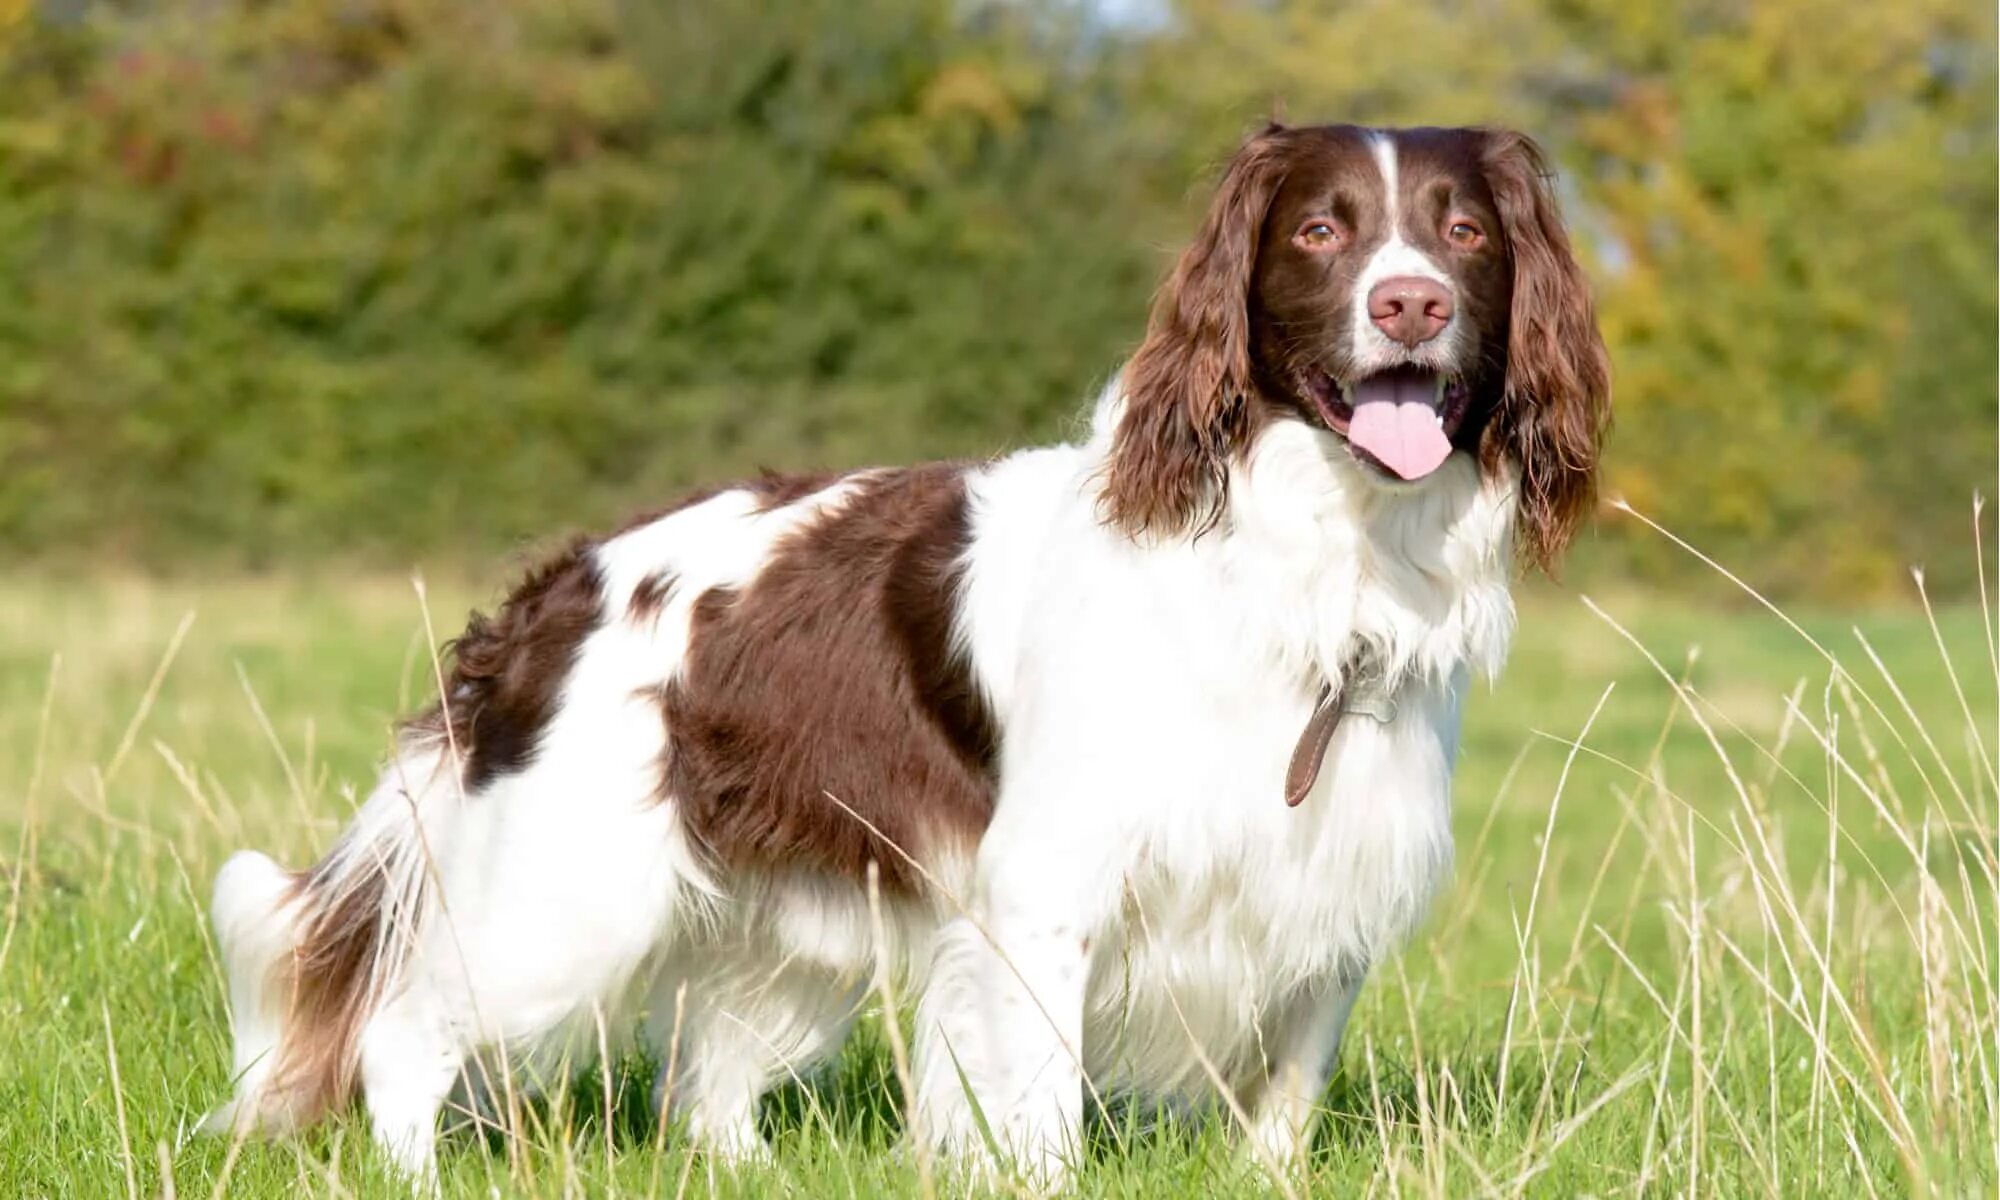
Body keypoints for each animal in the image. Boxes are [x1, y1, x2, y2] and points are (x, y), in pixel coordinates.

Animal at [207, 119, 1608, 1184]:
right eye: (1318, 231)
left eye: (1465, 234)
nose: (1409, 302)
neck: (1309, 563)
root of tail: (552, 593)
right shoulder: (1046, 892)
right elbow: (1037, 1112)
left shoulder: (1328, 901)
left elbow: (1284, 1100)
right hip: (564, 898)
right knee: (404, 1035)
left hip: (771, 916)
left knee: (709, 1087)